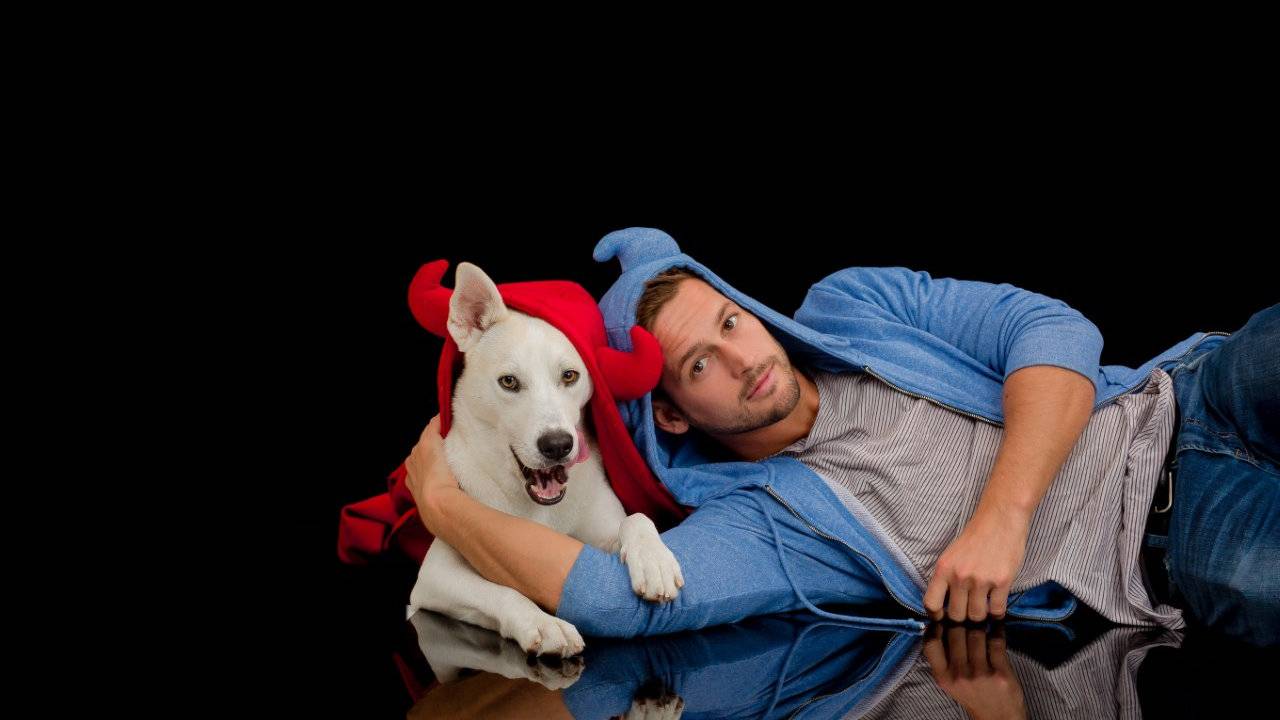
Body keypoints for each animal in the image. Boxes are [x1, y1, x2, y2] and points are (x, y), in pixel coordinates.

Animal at [412, 260, 691, 653]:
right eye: (509, 382)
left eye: (570, 376)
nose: (558, 445)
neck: (541, 510)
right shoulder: (435, 574)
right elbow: (502, 592)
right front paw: (543, 624)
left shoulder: (599, 539)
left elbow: (636, 519)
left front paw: (654, 560)